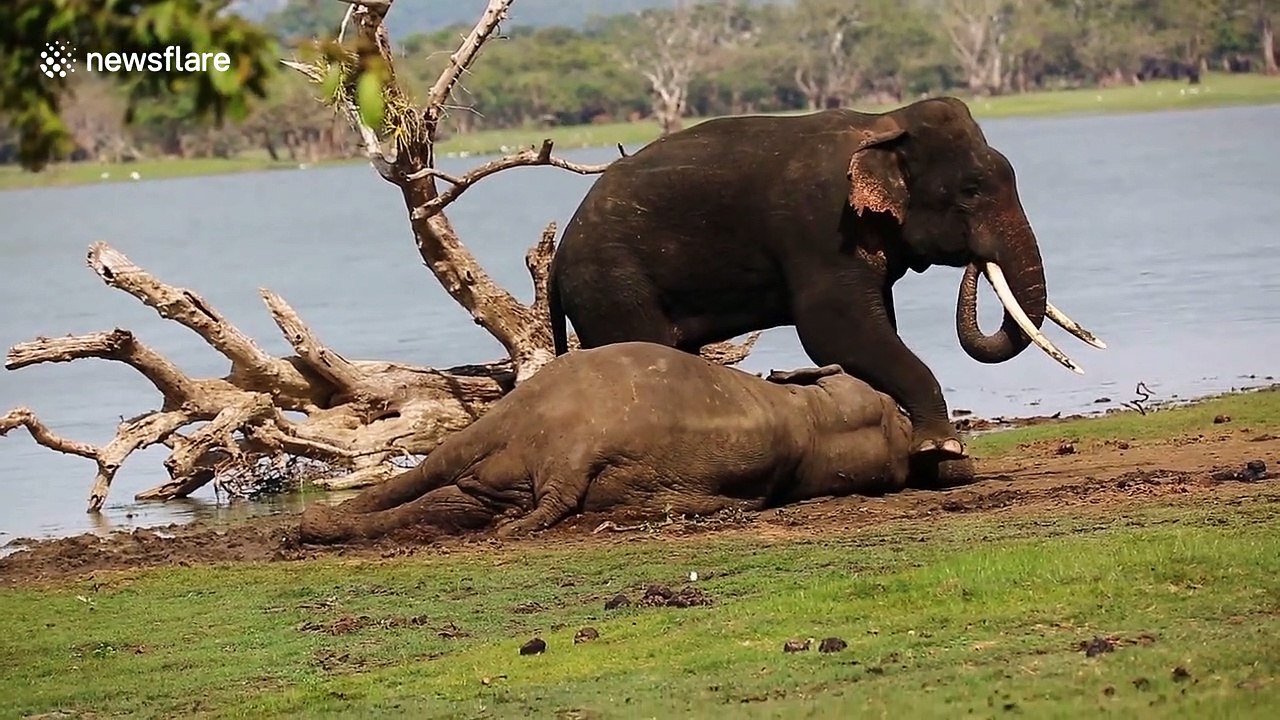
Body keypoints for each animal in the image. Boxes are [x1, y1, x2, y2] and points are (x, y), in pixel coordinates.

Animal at [548, 96, 1105, 461]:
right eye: (970, 191)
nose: (976, 261)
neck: (884, 124)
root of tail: (556, 258)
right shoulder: (818, 226)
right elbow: (832, 329)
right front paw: (942, 449)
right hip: (613, 285)